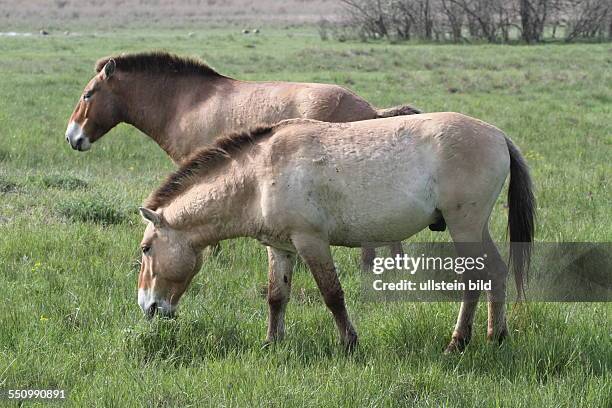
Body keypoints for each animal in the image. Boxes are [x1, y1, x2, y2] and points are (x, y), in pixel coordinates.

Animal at [135, 113, 536, 352]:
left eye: (146, 249)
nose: (148, 307)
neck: (258, 175)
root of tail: (498, 135)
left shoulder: (311, 242)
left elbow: (332, 295)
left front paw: (349, 344)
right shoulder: (281, 248)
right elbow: (276, 297)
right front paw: (272, 344)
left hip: (464, 226)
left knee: (475, 279)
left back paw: (458, 342)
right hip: (474, 227)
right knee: (495, 273)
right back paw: (495, 337)